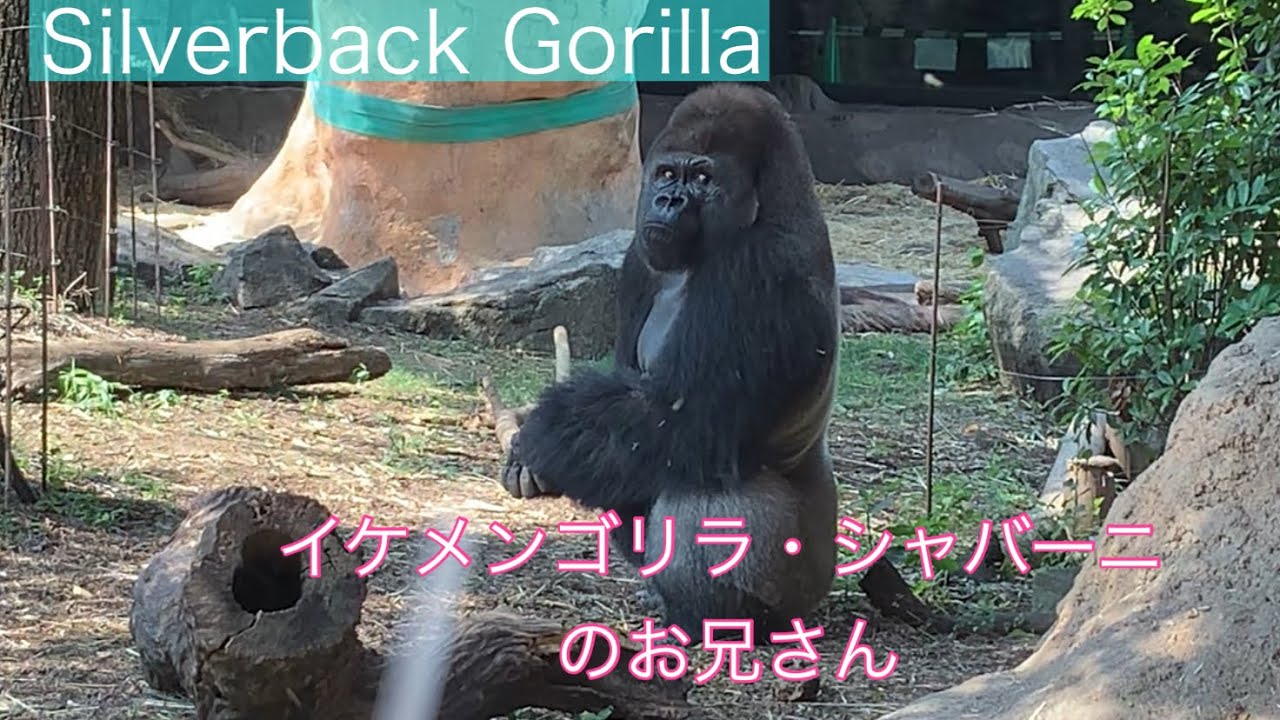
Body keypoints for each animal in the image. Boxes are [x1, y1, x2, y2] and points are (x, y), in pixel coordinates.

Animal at [499, 83, 841, 640]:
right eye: (665, 175)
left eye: (702, 179)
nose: (668, 201)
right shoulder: (641, 258)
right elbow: (622, 414)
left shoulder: (760, 269)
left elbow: (676, 418)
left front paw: (538, 435)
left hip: (801, 589)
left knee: (710, 491)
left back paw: (712, 620)